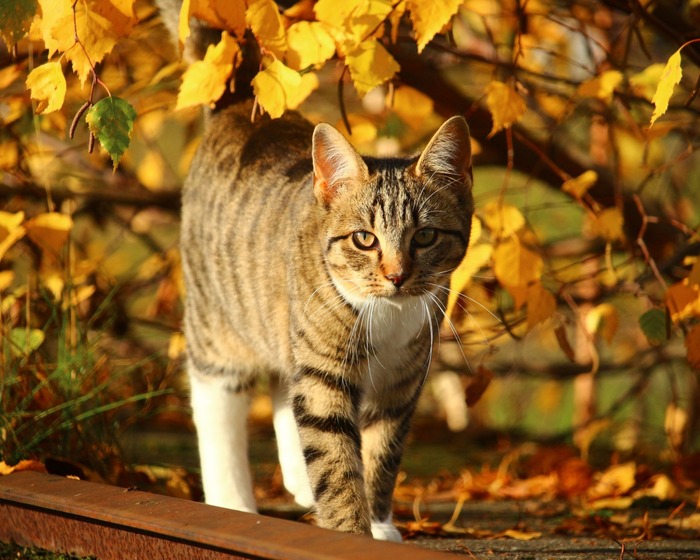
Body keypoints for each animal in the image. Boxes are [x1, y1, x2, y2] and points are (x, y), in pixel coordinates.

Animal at [170, 5, 476, 544]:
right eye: (364, 239)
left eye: (424, 236)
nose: (397, 276)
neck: (387, 316)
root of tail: (240, 109)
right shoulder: (324, 370)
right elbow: (335, 458)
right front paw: (349, 531)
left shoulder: (401, 384)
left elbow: (380, 454)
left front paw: (379, 524)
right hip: (219, 324)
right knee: (216, 401)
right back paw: (232, 501)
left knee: (283, 389)